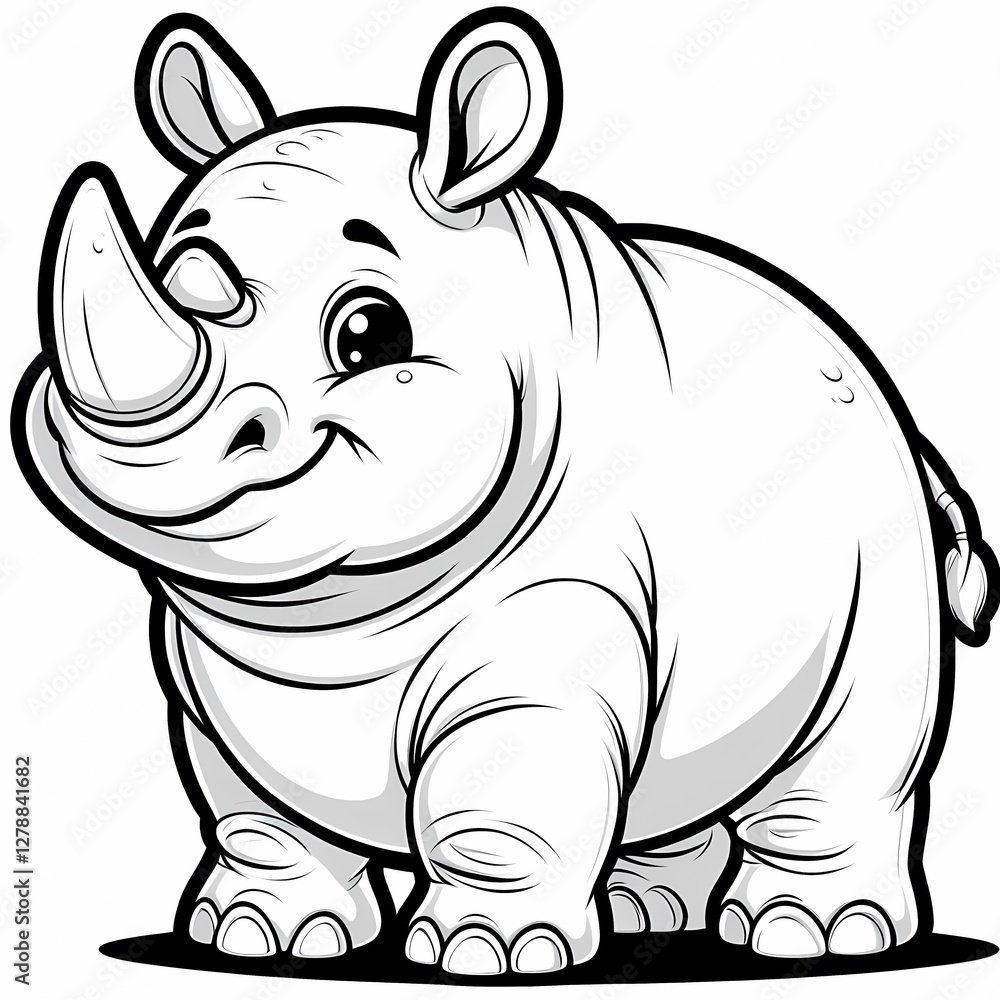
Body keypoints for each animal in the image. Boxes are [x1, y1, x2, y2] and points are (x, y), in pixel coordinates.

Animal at [11, 7, 996, 978]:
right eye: (168, 267)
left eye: (368, 335)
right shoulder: (209, 690)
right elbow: (257, 816)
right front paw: (252, 935)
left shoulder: (552, 628)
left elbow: (499, 799)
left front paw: (484, 953)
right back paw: (647, 918)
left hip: (877, 532)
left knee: (848, 746)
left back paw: (810, 938)